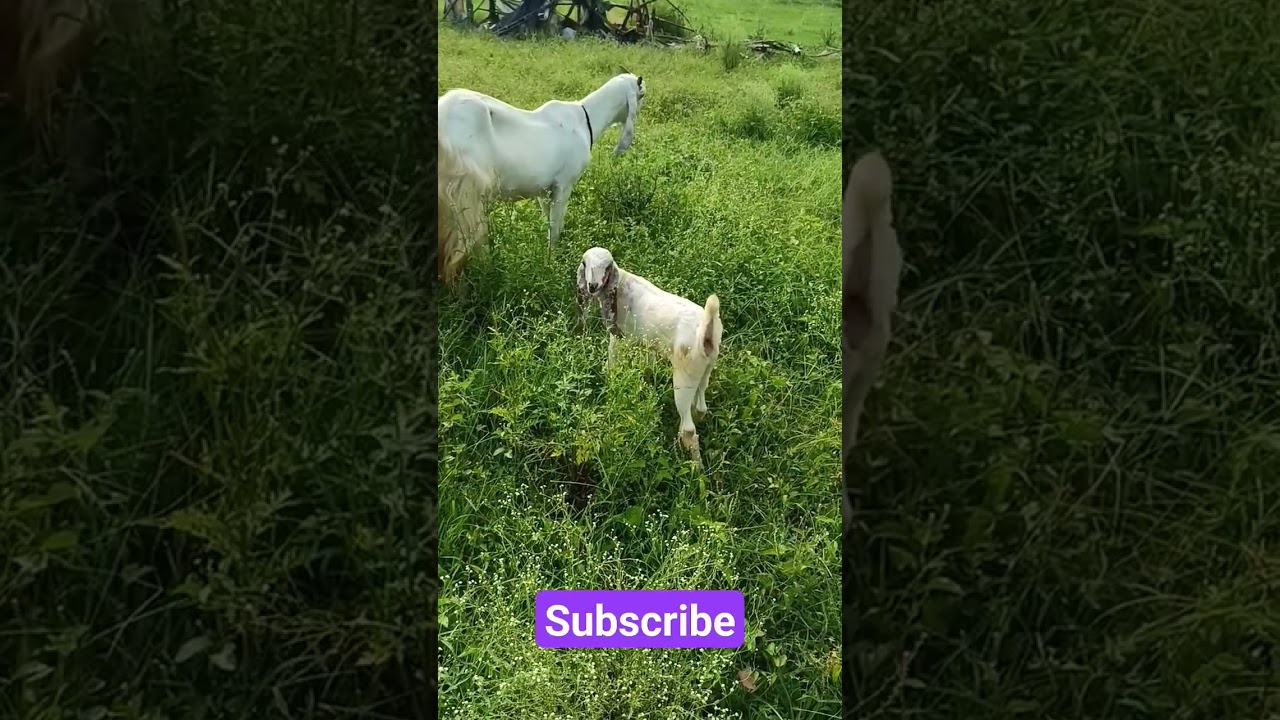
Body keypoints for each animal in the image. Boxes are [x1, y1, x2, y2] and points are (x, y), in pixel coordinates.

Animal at [437, 73, 646, 286]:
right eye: (642, 94)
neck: (585, 119)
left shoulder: (545, 191)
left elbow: (549, 221)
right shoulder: (564, 184)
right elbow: (555, 227)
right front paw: (553, 261)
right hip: (465, 190)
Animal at [577, 246, 722, 468]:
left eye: (607, 267)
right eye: (585, 264)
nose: (593, 286)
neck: (622, 284)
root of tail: (707, 329)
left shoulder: (619, 338)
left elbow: (612, 361)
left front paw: (608, 380)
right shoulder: (649, 344)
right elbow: (648, 364)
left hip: (685, 375)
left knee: (689, 429)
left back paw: (695, 468)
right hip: (706, 368)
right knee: (700, 408)